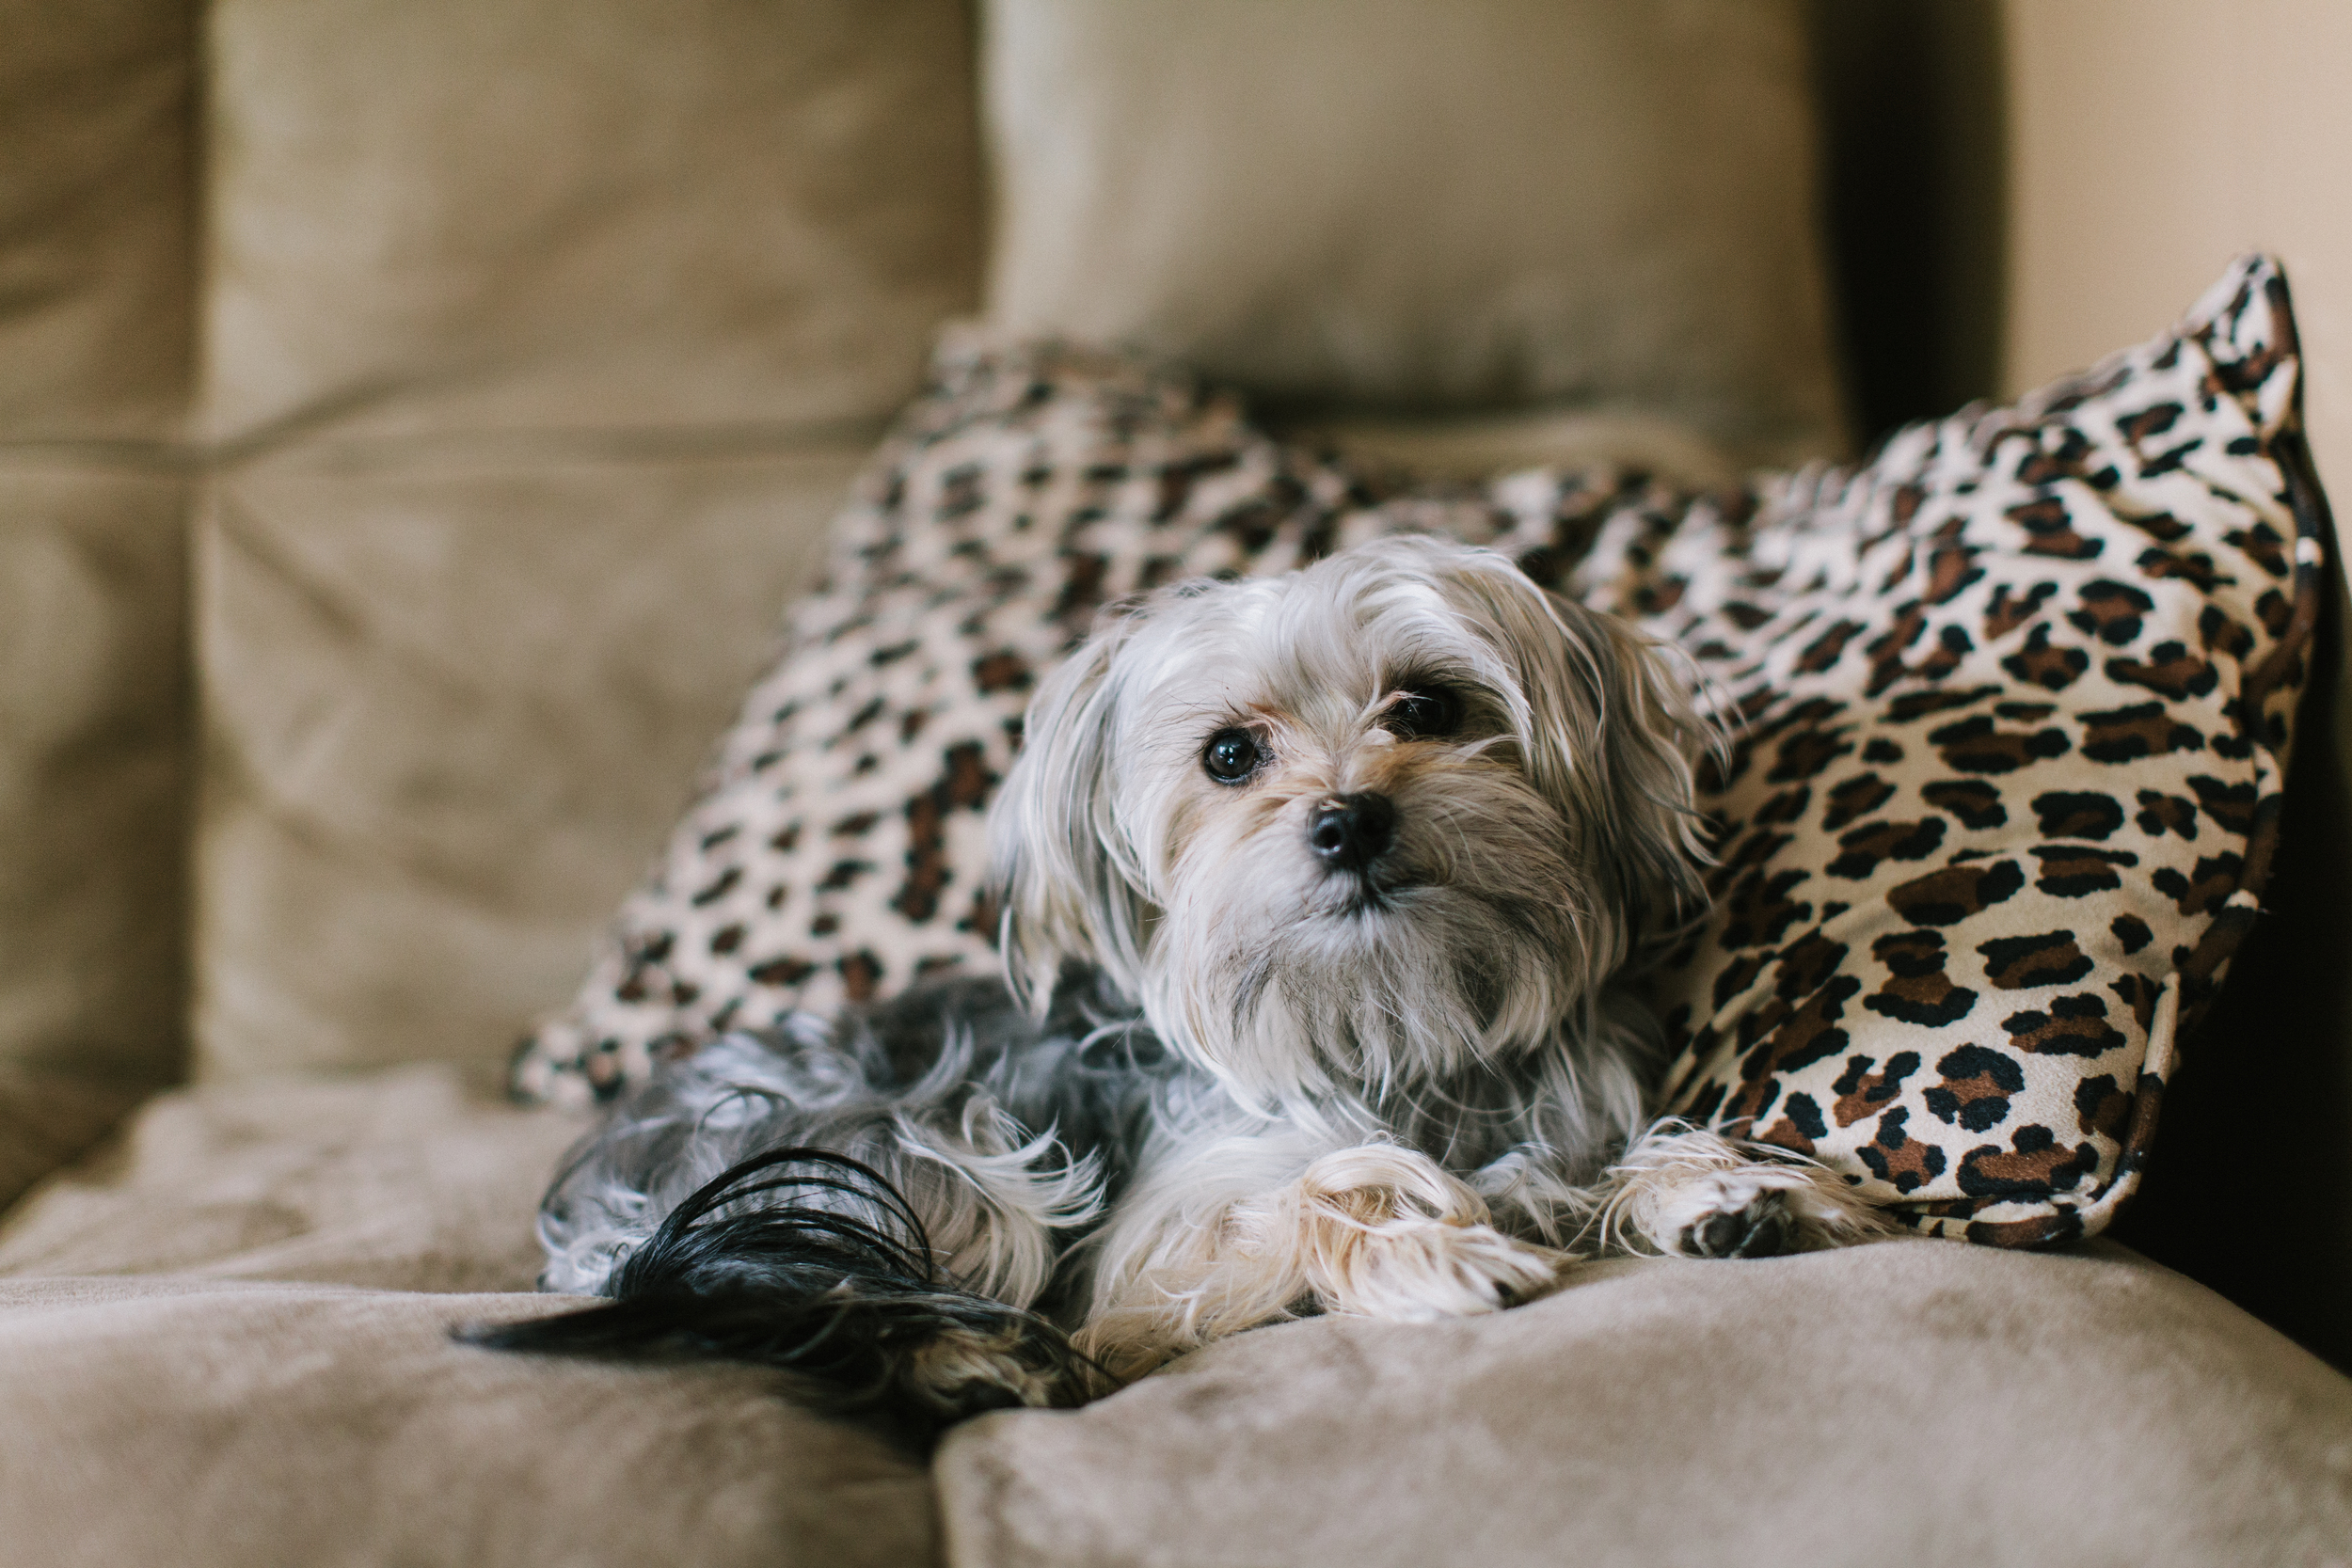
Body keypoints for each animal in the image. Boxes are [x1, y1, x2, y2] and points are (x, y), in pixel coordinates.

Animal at [472, 533, 1872, 1438]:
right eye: (1230, 755)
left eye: (1428, 706)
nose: (1349, 819)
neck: (1398, 1023)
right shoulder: (1158, 1251)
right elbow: (1323, 1186)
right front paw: (1435, 1243)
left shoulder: (1552, 1129)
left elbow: (1610, 1164)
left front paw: (1723, 1186)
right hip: (921, 1152)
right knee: (842, 1278)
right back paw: (969, 1357)